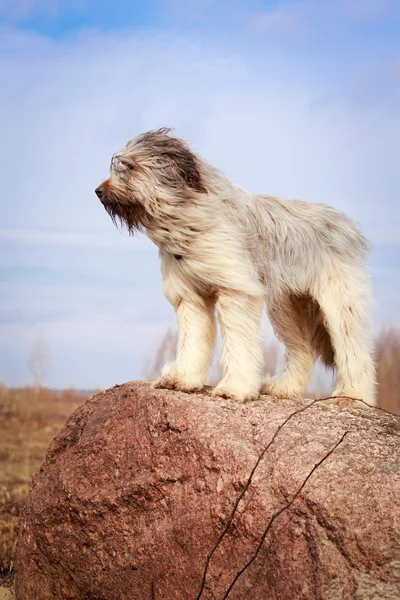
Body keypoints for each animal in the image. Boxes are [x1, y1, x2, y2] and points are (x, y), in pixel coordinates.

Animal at [95, 128, 376, 406]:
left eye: (131, 167)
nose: (97, 191)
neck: (187, 223)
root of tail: (343, 221)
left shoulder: (235, 291)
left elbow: (239, 344)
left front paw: (234, 388)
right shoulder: (190, 297)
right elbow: (191, 340)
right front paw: (182, 378)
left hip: (338, 301)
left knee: (352, 347)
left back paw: (353, 394)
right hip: (286, 307)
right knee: (302, 351)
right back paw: (284, 387)